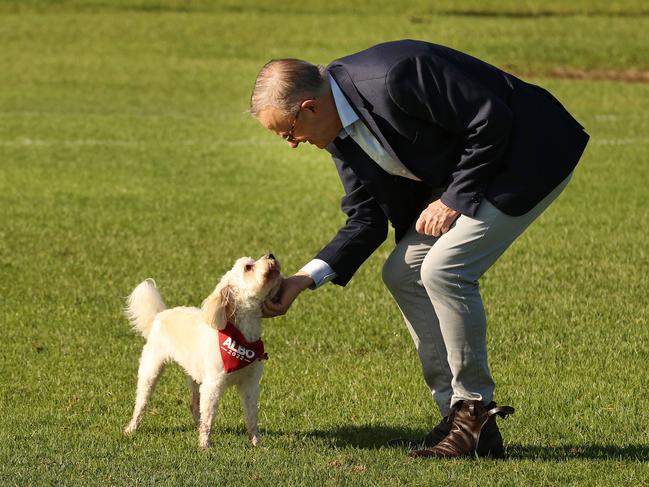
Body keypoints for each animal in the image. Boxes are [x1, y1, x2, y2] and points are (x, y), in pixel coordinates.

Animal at [124, 255, 280, 450]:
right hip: (151, 367)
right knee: (142, 402)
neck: (241, 339)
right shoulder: (213, 385)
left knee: (194, 405)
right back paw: (131, 428)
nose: (271, 255)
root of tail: (160, 315)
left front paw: (257, 444)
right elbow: (209, 418)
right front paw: (205, 446)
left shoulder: (250, 385)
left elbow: (251, 418)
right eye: (248, 267)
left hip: (195, 375)